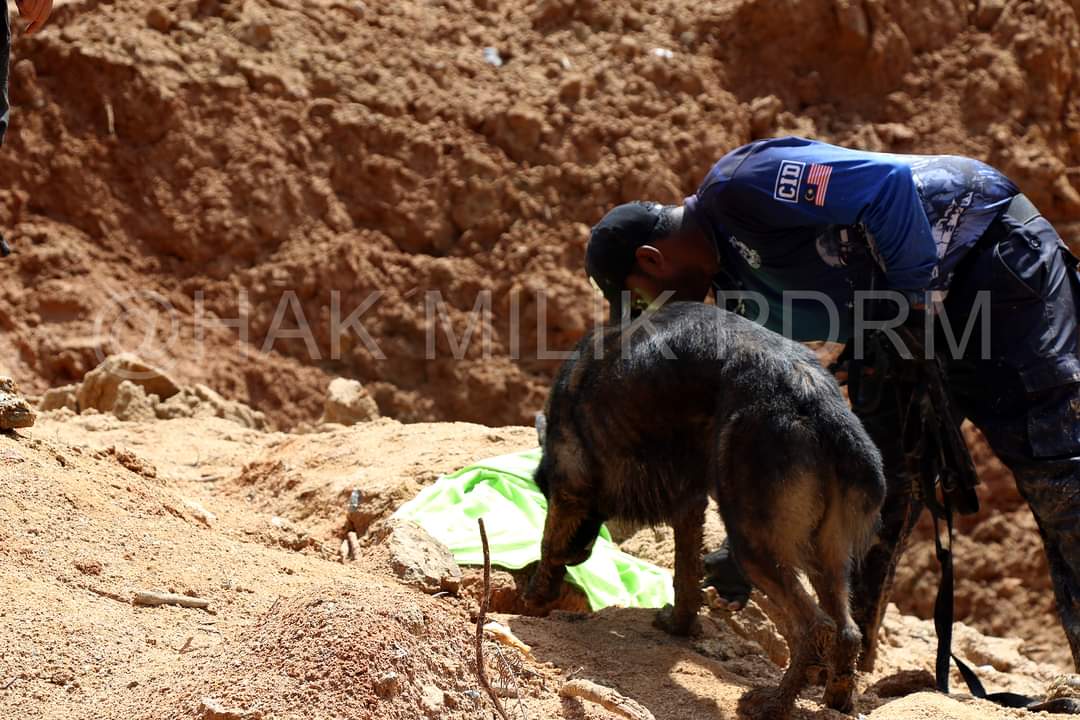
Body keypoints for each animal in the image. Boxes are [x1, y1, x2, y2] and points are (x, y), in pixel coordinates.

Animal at [522, 302, 885, 716]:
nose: (580, 555)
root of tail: (818, 403)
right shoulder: (689, 502)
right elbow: (686, 575)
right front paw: (679, 625)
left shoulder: (570, 487)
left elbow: (549, 545)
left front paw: (534, 598)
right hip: (827, 554)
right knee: (847, 630)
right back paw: (837, 699)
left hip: (752, 542)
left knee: (813, 627)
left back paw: (774, 704)